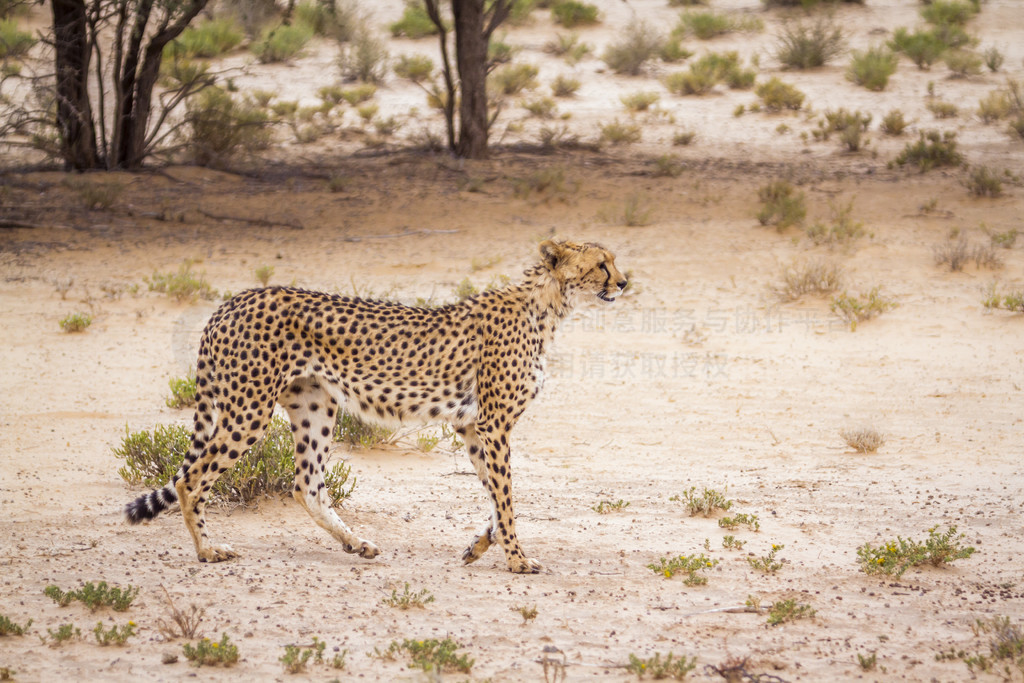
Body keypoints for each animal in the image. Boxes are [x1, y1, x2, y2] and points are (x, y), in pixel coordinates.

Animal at [125, 239, 622, 573]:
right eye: (601, 264)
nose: (623, 281)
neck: (547, 306)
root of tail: (232, 300)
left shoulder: (472, 427)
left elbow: (496, 496)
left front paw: (479, 546)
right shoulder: (494, 425)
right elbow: (506, 495)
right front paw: (517, 560)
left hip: (314, 406)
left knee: (306, 485)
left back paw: (357, 544)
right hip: (248, 410)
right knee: (190, 479)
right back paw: (208, 550)